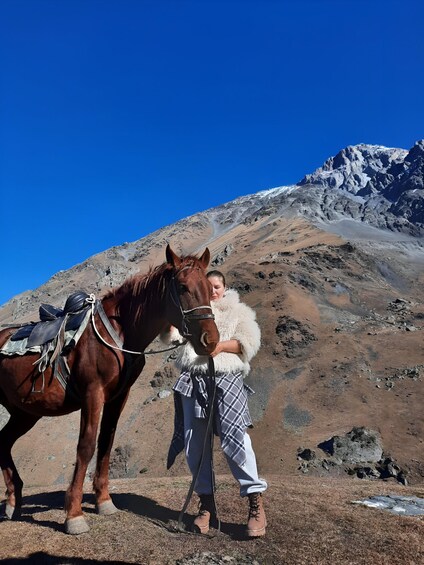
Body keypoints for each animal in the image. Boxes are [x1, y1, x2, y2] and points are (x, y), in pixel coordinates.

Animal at [0, 243, 219, 532]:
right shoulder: (93, 393)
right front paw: (74, 515)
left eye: (208, 286)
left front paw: (104, 502)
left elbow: (106, 442)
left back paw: (13, 502)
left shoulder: (118, 397)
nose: (211, 339)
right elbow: (86, 445)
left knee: (2, 443)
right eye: (183, 287)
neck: (119, 331)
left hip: (24, 413)